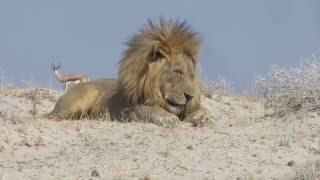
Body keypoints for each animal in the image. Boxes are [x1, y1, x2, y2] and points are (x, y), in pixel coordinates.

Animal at [48, 19, 212, 127]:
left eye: (192, 76)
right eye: (178, 73)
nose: (190, 96)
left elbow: (204, 108)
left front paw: (203, 117)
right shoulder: (129, 110)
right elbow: (149, 109)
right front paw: (168, 118)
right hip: (84, 95)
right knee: (52, 116)